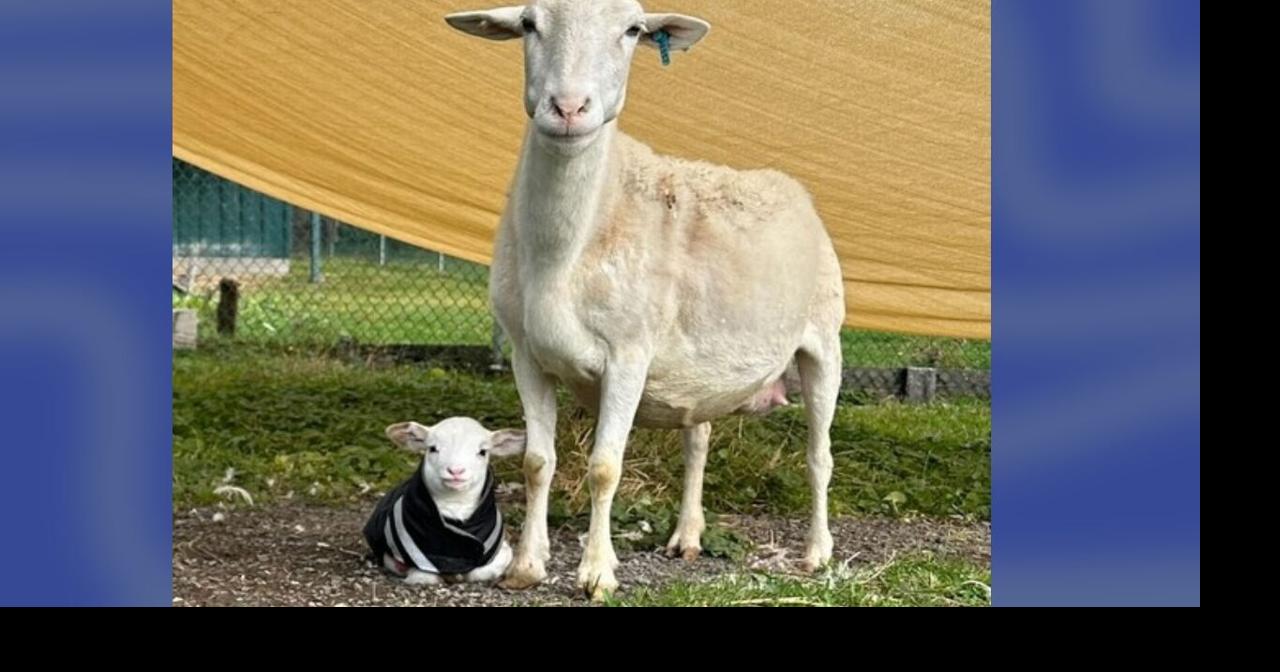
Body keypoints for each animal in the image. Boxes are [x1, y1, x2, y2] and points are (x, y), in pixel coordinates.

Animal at [363, 417, 526, 585]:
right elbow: (423, 575)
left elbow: (481, 571)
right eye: (432, 448)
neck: (455, 505)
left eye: (482, 452)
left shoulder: (499, 549)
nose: (456, 471)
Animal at [445, 0, 845, 601]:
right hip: (701, 370)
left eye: (633, 30)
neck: (567, 249)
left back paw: (817, 553)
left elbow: (604, 467)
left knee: (818, 456)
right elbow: (538, 461)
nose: (568, 107)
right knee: (698, 439)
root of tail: (789, 185)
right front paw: (527, 566)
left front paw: (596, 573)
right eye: (529, 24)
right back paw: (688, 537)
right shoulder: (525, 353)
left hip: (824, 340)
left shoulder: (628, 353)